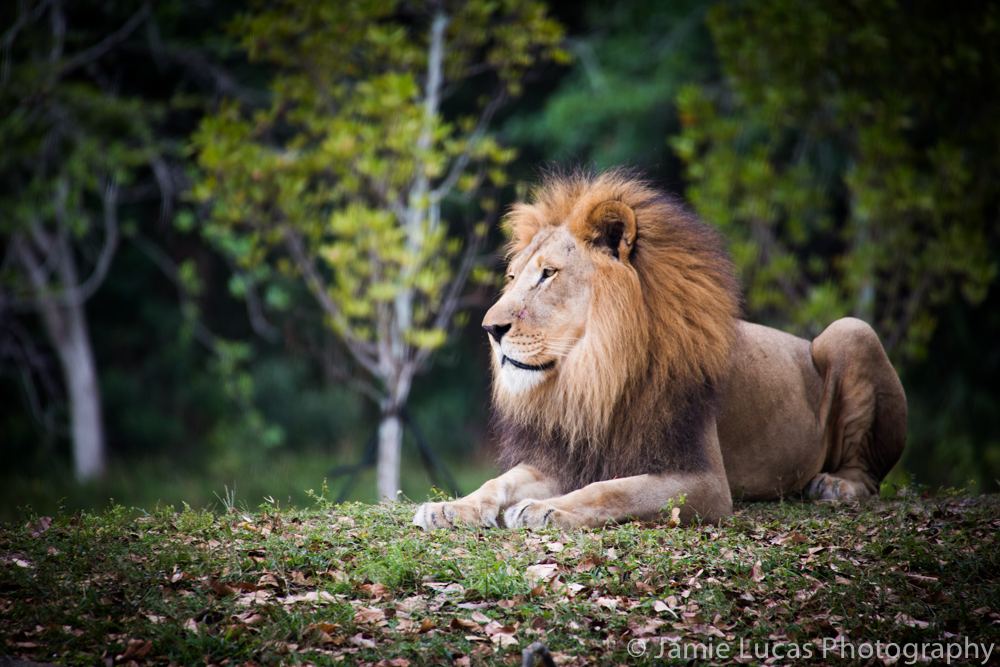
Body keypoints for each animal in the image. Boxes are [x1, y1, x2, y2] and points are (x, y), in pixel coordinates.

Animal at [413, 170, 907, 530]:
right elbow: (498, 481)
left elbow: (615, 489)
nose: (490, 328)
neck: (597, 374)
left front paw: (546, 509)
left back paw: (834, 487)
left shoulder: (706, 481)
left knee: (870, 477)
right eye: (513, 277)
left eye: (548, 274)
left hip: (852, 330)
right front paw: (450, 508)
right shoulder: (568, 456)